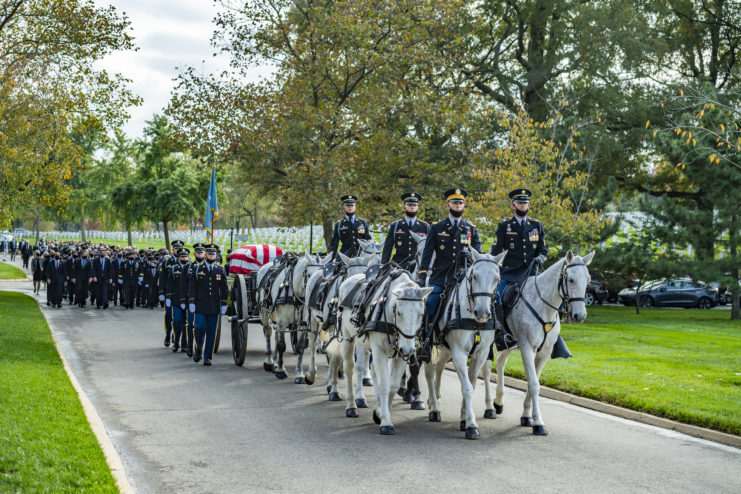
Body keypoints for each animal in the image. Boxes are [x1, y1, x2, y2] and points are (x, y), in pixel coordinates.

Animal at [334, 268, 428, 434]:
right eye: (399, 312)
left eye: (421, 314)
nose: (408, 349)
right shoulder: (379, 350)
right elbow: (384, 384)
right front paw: (385, 422)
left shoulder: (399, 354)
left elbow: (393, 386)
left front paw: (380, 413)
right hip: (347, 338)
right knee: (350, 369)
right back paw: (351, 406)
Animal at [422, 251, 502, 440]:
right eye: (474, 276)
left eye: (497, 278)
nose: (483, 313)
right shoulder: (459, 353)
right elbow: (466, 387)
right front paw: (471, 425)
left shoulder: (481, 353)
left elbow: (471, 383)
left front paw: (464, 418)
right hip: (429, 347)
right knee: (429, 373)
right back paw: (434, 408)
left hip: (446, 349)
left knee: (439, 367)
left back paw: (436, 398)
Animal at [482, 253, 592, 434]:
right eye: (570, 279)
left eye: (588, 280)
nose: (579, 315)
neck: (544, 306)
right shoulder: (527, 348)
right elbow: (534, 384)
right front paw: (538, 423)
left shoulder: (544, 352)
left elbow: (533, 382)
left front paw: (527, 417)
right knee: (485, 369)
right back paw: (490, 406)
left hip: (509, 344)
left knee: (500, 362)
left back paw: (498, 402)